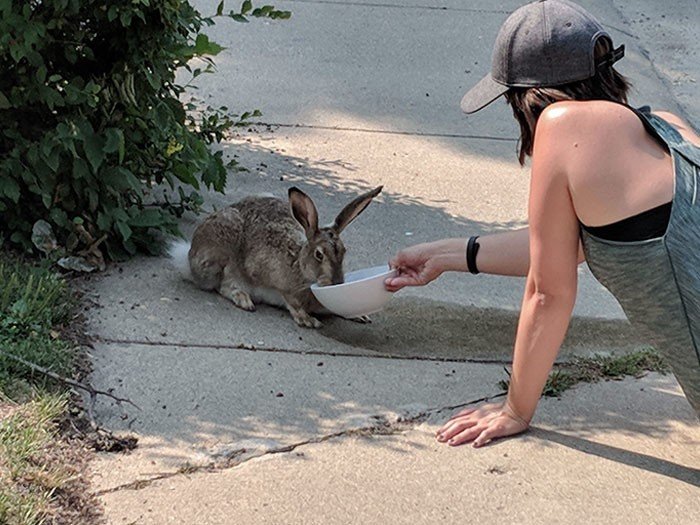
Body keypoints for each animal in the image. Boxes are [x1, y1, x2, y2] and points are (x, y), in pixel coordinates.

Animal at [170, 186, 382, 328]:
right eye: (319, 254)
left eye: (344, 251)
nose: (337, 282)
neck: (301, 268)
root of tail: (189, 255)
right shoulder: (271, 277)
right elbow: (290, 299)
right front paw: (308, 320)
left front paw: (360, 316)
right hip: (221, 251)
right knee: (223, 284)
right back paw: (244, 300)